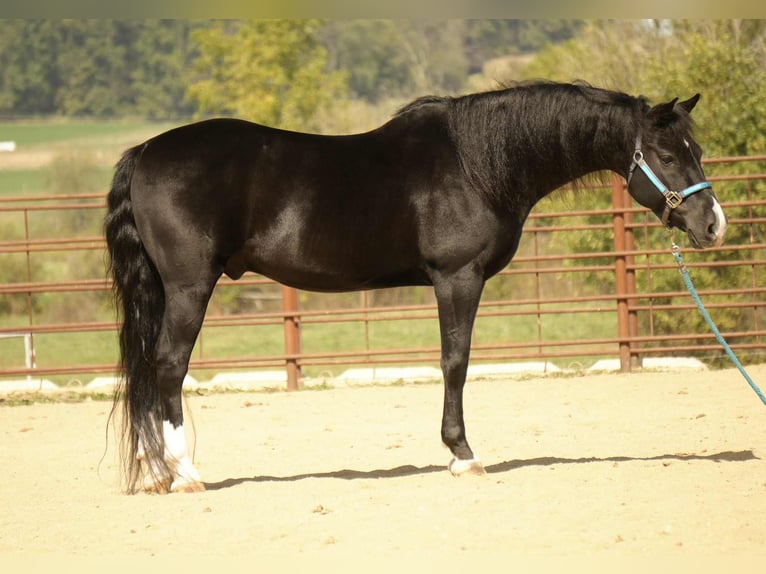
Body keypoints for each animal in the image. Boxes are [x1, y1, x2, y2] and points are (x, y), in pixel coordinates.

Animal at [104, 81, 726, 494]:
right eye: (667, 155)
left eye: (696, 151)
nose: (713, 225)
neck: (477, 164)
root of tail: (146, 152)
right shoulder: (457, 278)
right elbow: (456, 360)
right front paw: (463, 455)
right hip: (190, 286)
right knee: (169, 366)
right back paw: (185, 473)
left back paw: (158, 472)